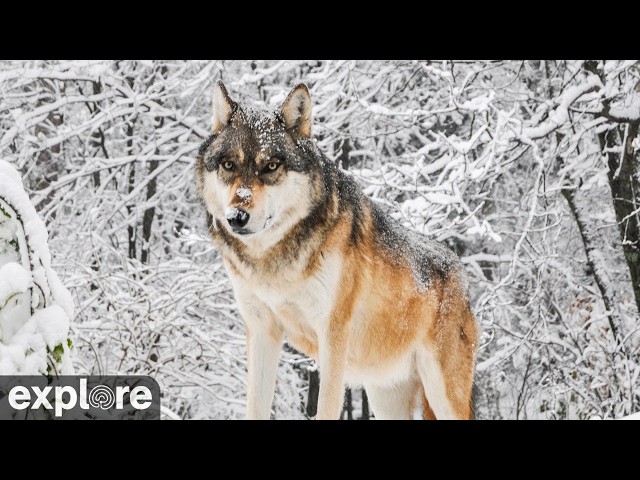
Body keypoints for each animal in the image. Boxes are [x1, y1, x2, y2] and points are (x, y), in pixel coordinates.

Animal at [195, 81, 478, 420]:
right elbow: (255, 409)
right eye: (228, 165)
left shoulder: (332, 337)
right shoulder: (262, 331)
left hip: (441, 394)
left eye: (271, 166)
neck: (272, 263)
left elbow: (326, 408)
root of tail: (461, 274)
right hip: (385, 398)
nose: (237, 217)